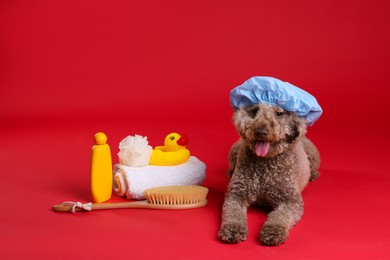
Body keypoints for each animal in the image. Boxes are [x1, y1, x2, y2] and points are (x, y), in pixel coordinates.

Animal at [218, 103, 318, 246]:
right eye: (255, 110)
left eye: (279, 113)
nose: (260, 131)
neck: (265, 162)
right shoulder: (236, 194)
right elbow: (233, 213)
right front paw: (232, 229)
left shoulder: (290, 201)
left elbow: (280, 216)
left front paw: (273, 231)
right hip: (235, 149)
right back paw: (230, 172)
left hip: (312, 154)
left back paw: (313, 175)